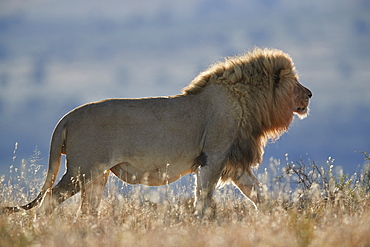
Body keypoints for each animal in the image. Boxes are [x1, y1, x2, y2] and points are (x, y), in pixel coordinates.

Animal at [2, 47, 312, 215]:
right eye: (296, 81)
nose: (310, 94)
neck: (250, 101)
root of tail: (67, 117)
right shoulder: (212, 157)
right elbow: (204, 199)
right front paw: (201, 222)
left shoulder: (235, 163)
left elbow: (260, 194)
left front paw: (274, 217)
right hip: (82, 170)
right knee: (50, 199)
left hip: (98, 175)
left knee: (87, 210)